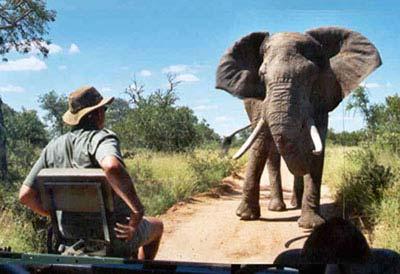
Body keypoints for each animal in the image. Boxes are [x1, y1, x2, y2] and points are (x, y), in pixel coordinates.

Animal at [216, 26, 382, 228]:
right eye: (262, 76)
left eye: (310, 75)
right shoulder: (258, 104)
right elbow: (260, 146)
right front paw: (245, 216)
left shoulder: (322, 98)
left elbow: (317, 144)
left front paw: (311, 225)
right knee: (271, 153)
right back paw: (277, 208)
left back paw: (294, 204)